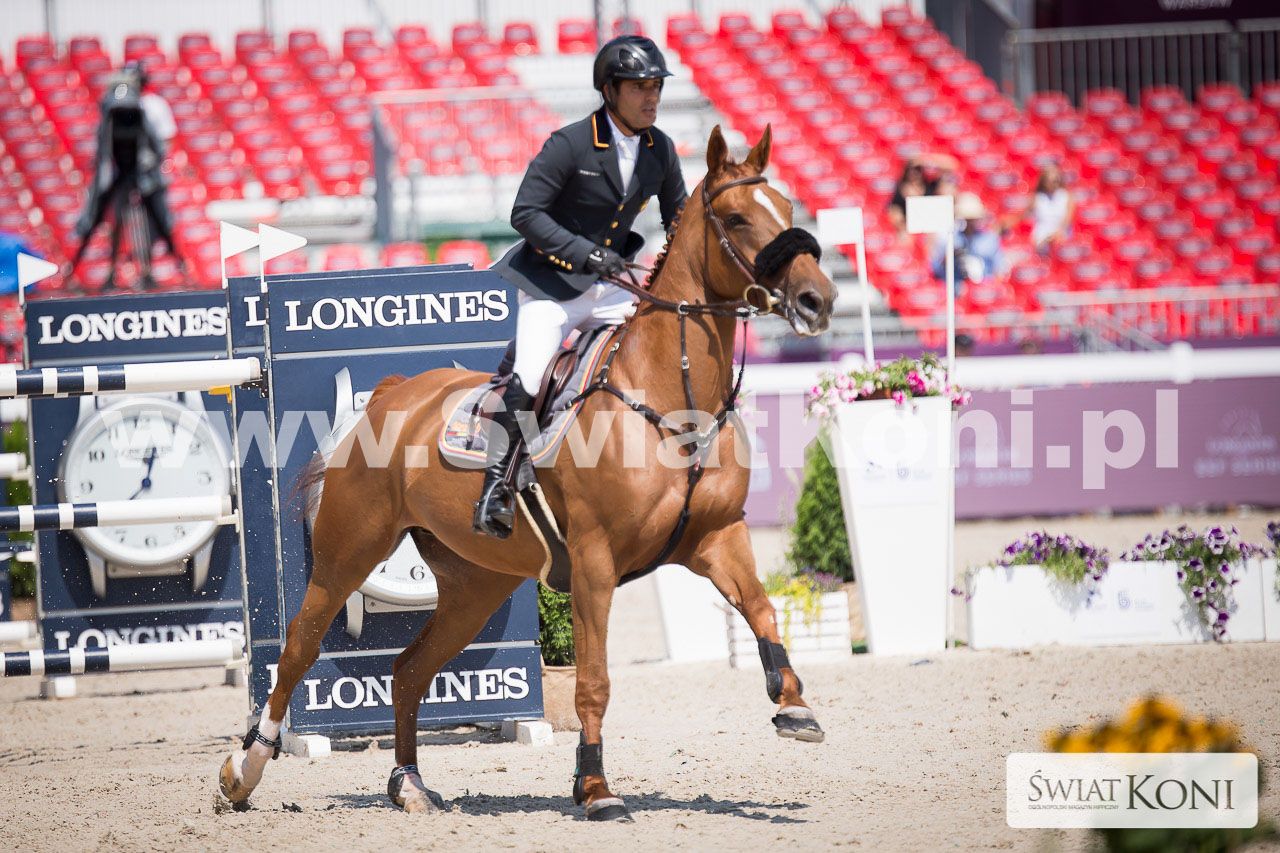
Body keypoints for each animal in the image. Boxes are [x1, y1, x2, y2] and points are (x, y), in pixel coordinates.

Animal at [219, 125, 837, 821]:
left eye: (786, 207)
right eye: (736, 219)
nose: (817, 299)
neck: (671, 401)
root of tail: (393, 393)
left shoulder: (716, 538)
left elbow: (763, 610)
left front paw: (795, 707)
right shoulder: (595, 561)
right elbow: (593, 683)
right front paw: (595, 790)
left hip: (475, 584)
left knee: (409, 669)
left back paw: (410, 784)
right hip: (347, 553)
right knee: (299, 650)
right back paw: (243, 771)